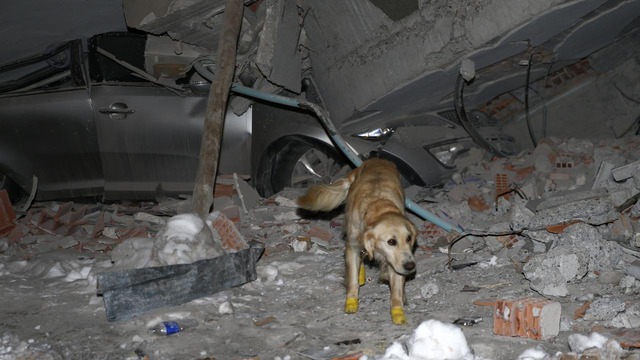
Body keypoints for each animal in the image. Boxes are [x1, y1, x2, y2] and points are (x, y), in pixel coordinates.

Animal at [298, 159, 418, 324]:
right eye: (391, 242)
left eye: (408, 238)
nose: (411, 266)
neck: (378, 205)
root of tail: (375, 159)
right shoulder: (352, 248)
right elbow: (353, 278)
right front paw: (351, 302)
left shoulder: (396, 262)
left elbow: (397, 288)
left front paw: (398, 311)